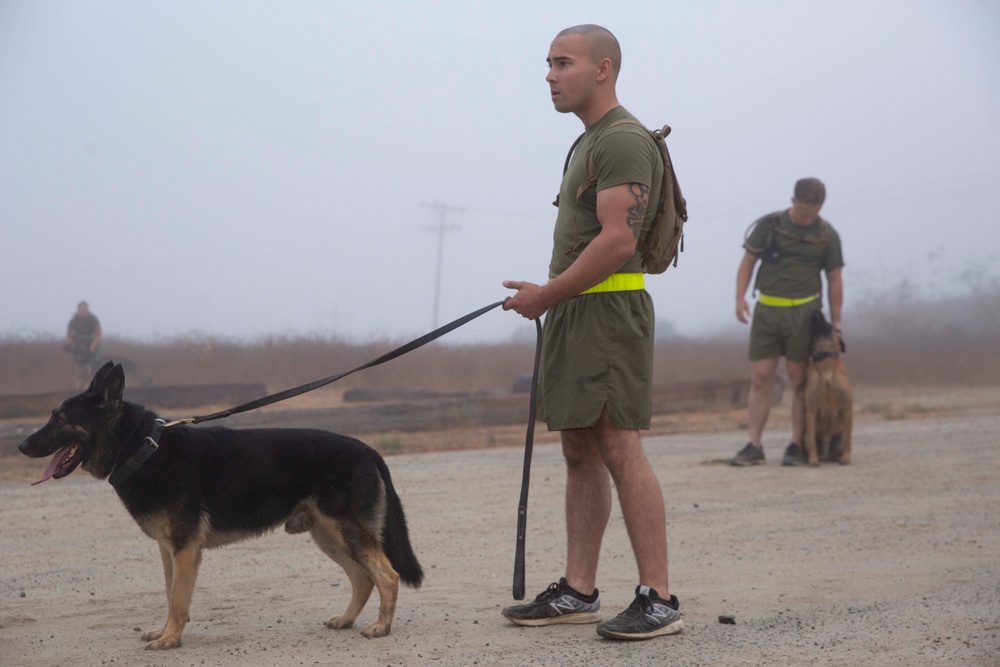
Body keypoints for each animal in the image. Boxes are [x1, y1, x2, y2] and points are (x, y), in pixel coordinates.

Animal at [19, 362, 424, 648]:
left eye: (60, 419)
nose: (22, 445)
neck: (143, 448)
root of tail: (365, 447)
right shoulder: (168, 551)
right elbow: (169, 594)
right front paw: (165, 633)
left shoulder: (185, 550)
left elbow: (178, 600)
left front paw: (171, 640)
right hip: (330, 538)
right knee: (363, 578)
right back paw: (346, 620)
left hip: (347, 534)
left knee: (387, 576)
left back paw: (381, 627)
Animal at [804, 310, 852, 468]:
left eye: (829, 324)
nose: (817, 310)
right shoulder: (811, 410)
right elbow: (812, 441)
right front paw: (813, 460)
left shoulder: (847, 408)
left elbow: (849, 440)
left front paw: (846, 457)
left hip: (839, 435)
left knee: (841, 443)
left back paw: (838, 457)